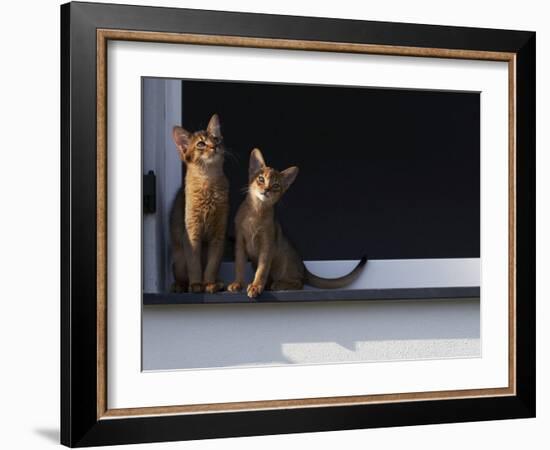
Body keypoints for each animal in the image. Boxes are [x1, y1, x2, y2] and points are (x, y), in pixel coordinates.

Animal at [169, 114, 227, 294]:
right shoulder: (191, 232)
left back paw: (219, 282)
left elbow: (212, 265)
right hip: (179, 259)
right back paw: (180, 286)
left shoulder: (218, 234)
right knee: (180, 275)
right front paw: (196, 285)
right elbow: (194, 264)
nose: (215, 146)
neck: (209, 182)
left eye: (216, 138)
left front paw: (208, 283)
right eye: (201, 144)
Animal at [227, 149, 366, 298]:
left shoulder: (267, 245)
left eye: (276, 185)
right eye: (261, 179)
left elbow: (262, 270)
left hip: (284, 261)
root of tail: (305, 268)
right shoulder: (240, 243)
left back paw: (277, 285)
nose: (266, 190)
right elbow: (239, 266)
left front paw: (256, 286)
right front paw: (237, 284)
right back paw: (269, 285)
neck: (255, 212)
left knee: (299, 283)